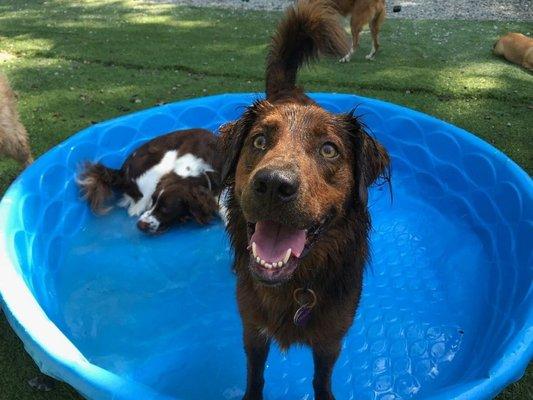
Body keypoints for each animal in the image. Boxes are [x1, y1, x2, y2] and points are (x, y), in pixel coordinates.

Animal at [217, 1, 390, 398]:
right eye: (259, 141)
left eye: (329, 149)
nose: (273, 184)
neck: (293, 286)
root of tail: (289, 90)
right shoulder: (252, 330)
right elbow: (255, 374)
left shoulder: (331, 339)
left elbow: (320, 379)